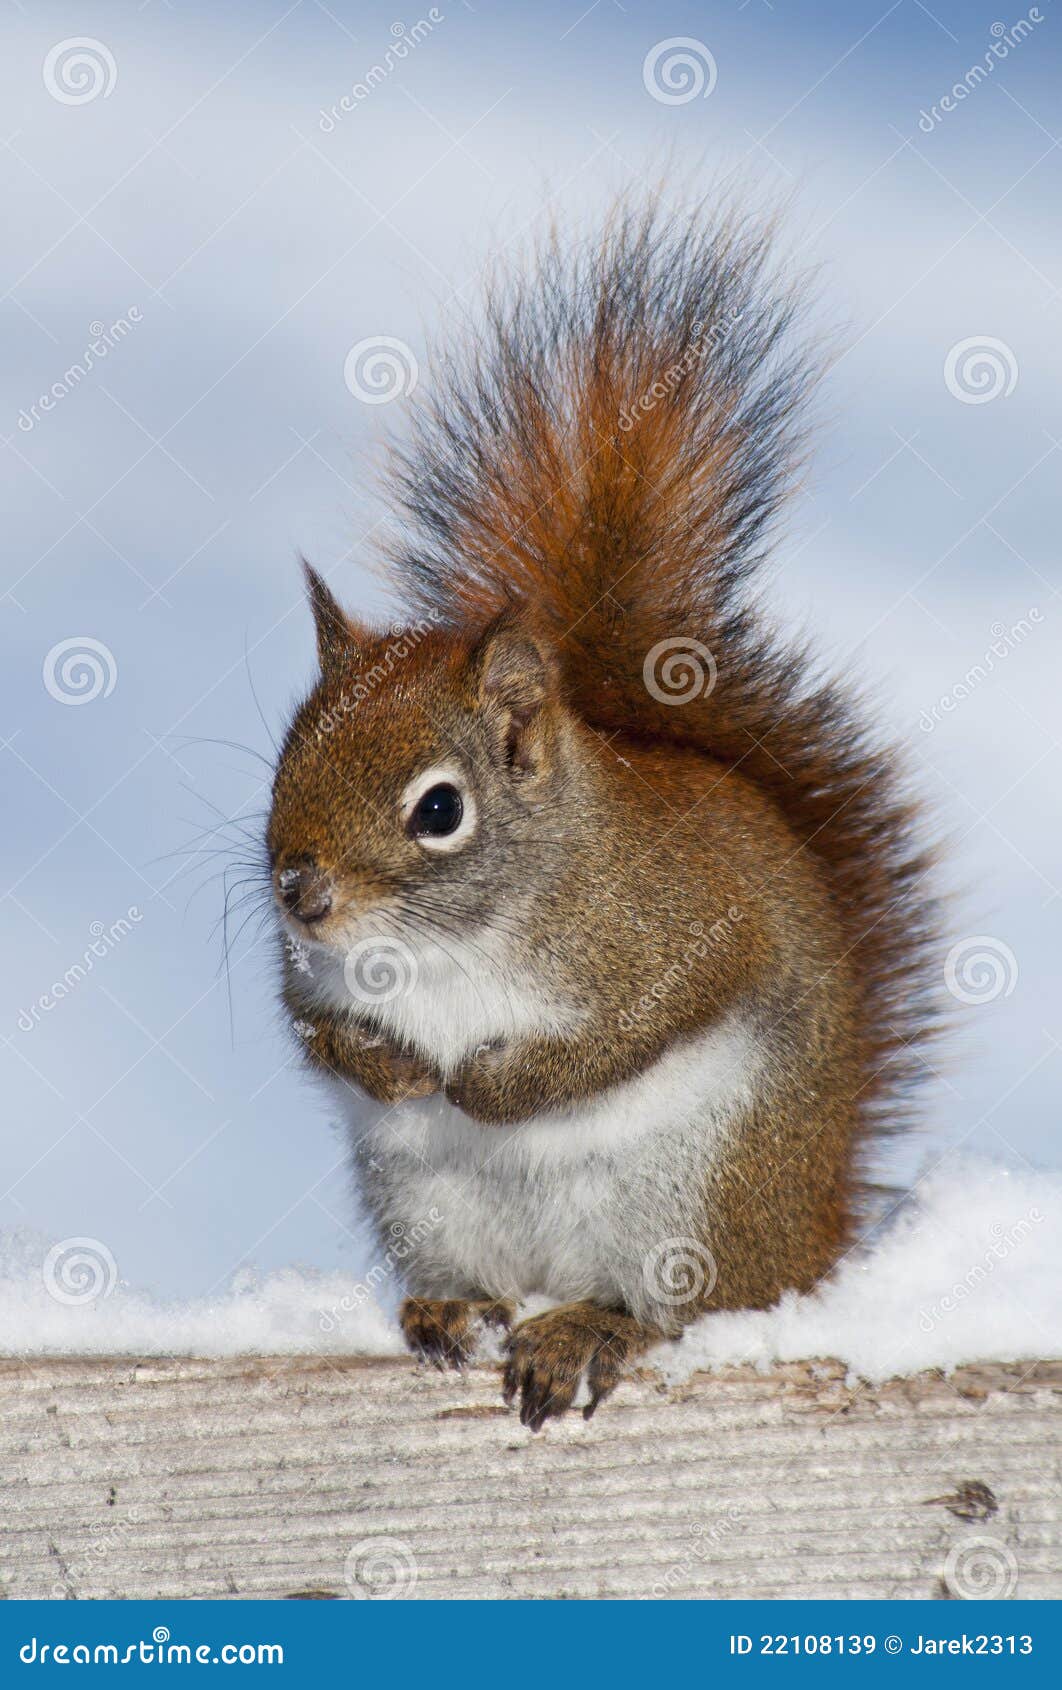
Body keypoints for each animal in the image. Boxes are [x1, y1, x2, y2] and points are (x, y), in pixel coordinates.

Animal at [266, 201, 939, 1430]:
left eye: (441, 808)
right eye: (284, 760)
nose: (300, 892)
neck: (448, 940)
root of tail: (810, 1240)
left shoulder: (682, 930)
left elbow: (637, 1027)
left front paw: (488, 1085)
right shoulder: (309, 975)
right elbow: (313, 1026)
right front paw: (395, 1071)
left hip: (695, 1200)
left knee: (672, 1314)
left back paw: (588, 1325)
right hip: (424, 1202)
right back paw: (453, 1310)